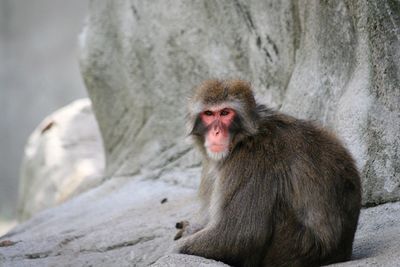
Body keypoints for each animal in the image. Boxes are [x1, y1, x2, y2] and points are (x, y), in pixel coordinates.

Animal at [175, 79, 362, 267]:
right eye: (209, 113)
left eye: (225, 113)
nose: (216, 131)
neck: (243, 138)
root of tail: (342, 251)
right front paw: (189, 228)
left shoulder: (250, 161)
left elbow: (239, 234)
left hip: (296, 246)